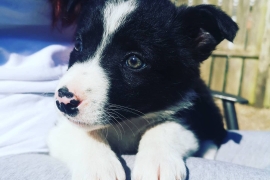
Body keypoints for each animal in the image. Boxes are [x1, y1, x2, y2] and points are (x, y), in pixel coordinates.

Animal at [47, 0, 237, 179]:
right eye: (78, 45)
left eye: (134, 61)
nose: (64, 100)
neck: (128, 121)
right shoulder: (60, 128)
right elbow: (79, 133)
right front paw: (98, 166)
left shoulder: (187, 113)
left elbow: (165, 126)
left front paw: (158, 162)